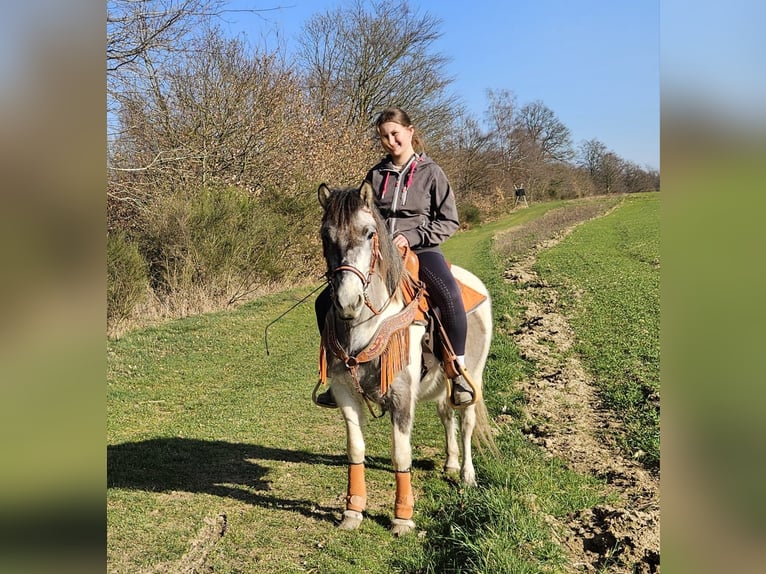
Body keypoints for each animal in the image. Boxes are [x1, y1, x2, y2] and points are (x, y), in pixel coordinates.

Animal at [316, 181, 494, 536]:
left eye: (369, 233)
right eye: (325, 235)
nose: (347, 302)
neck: (365, 327)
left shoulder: (401, 396)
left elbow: (401, 455)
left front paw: (402, 517)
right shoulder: (345, 393)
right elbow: (355, 450)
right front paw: (352, 511)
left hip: (473, 375)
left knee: (466, 420)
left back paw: (467, 475)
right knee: (446, 415)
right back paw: (450, 464)